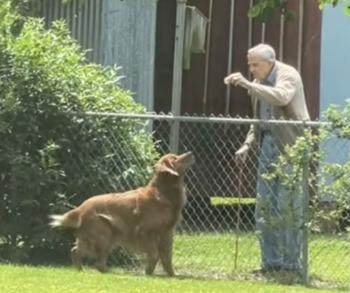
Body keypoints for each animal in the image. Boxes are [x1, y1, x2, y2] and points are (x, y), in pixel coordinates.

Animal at [49, 152, 194, 274]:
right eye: (175, 158)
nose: (190, 153)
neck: (164, 191)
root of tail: (81, 207)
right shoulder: (145, 231)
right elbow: (154, 254)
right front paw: (148, 272)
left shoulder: (167, 233)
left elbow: (167, 257)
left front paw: (172, 275)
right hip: (104, 235)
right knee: (97, 262)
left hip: (103, 237)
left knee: (76, 251)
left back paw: (81, 270)